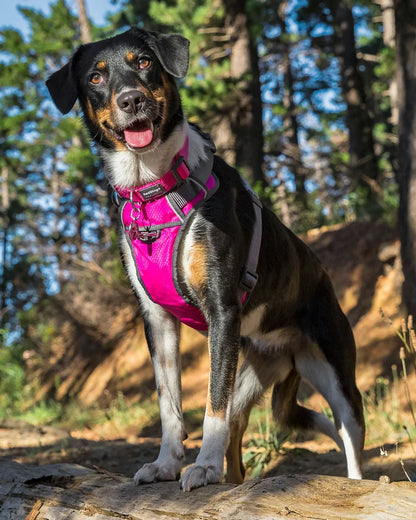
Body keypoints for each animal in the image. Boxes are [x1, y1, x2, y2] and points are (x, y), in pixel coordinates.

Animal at [46, 27, 364, 492]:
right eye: (95, 77)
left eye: (144, 62)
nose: (131, 100)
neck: (153, 189)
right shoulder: (158, 322)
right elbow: (170, 406)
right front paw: (166, 464)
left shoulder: (222, 311)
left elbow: (212, 407)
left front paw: (204, 468)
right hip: (250, 371)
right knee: (236, 431)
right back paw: (232, 480)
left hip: (333, 374)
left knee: (346, 434)